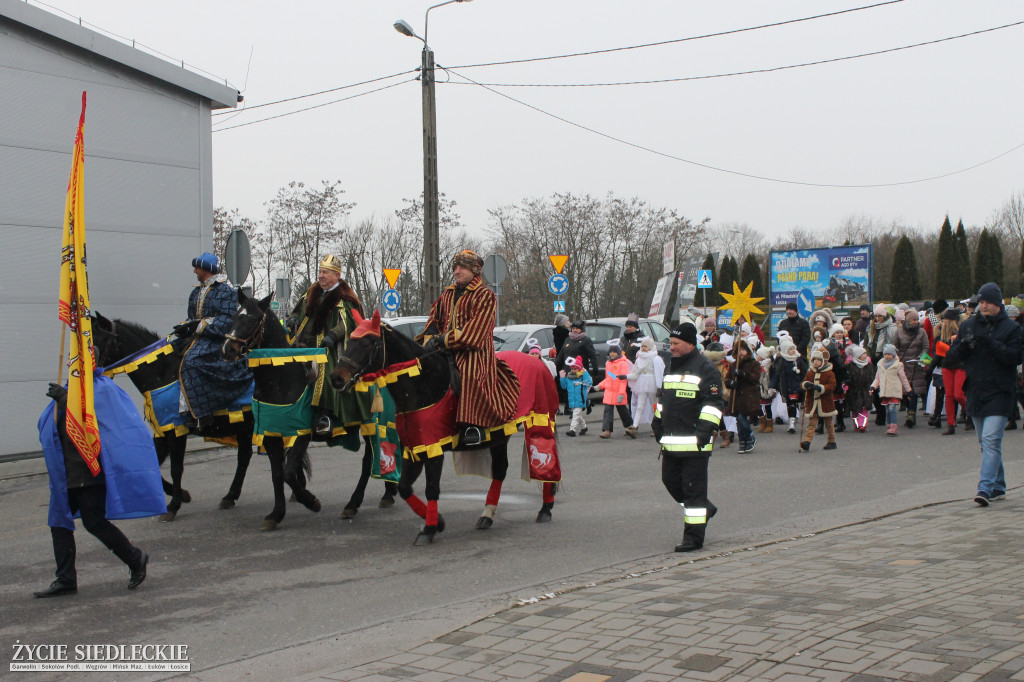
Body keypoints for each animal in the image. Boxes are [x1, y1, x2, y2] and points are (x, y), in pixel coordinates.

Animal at [91, 313, 253, 520]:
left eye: (96, 340)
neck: (162, 372)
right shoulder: (162, 430)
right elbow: (154, 463)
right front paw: (182, 495)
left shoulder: (176, 431)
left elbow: (176, 468)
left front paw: (173, 505)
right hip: (245, 427)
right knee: (244, 457)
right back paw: (230, 496)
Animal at [222, 290, 397, 532]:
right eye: (234, 316)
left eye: (254, 319)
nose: (228, 350)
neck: (281, 380)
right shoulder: (271, 433)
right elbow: (278, 474)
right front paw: (276, 514)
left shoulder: (301, 433)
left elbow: (288, 473)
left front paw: (311, 501)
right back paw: (387, 494)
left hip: (374, 422)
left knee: (368, 461)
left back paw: (354, 503)